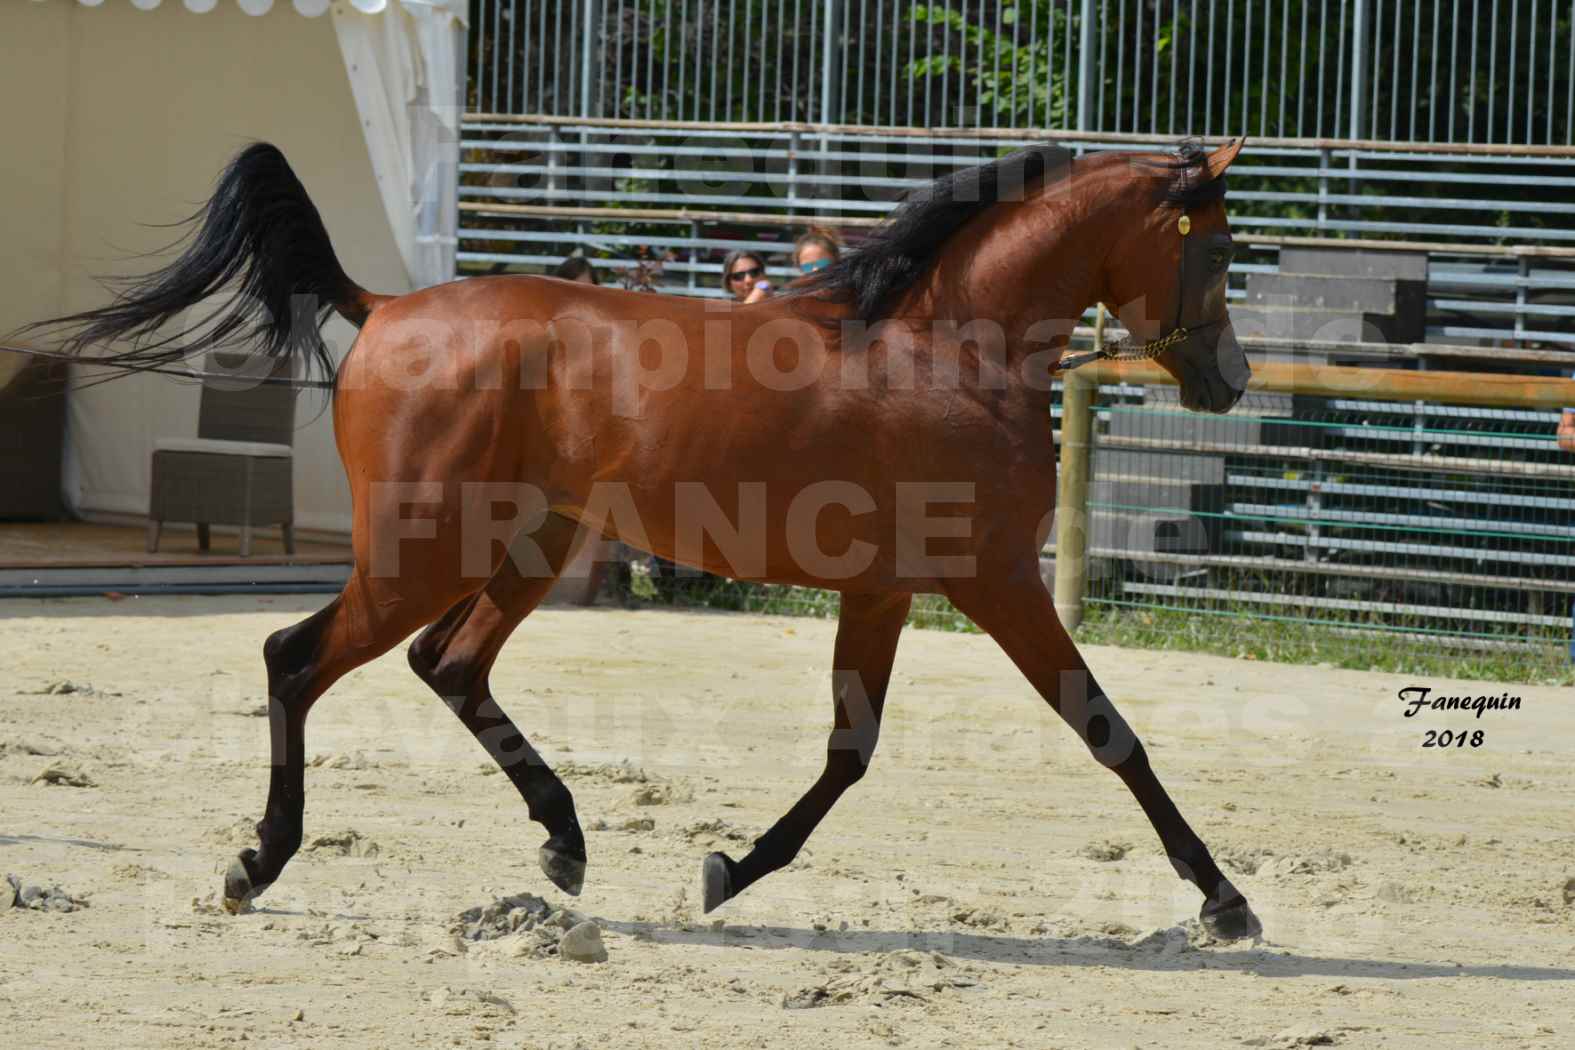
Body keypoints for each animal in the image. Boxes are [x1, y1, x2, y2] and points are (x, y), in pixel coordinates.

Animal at [30, 137, 1260, 938]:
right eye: (1215, 252)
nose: (1231, 381)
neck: (949, 352)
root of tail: (383, 308)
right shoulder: (995, 580)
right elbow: (1109, 733)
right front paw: (1225, 900)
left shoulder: (885, 592)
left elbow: (848, 753)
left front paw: (729, 871)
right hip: (425, 551)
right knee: (298, 659)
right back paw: (259, 864)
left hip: (526, 546)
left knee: (450, 664)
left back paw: (564, 840)